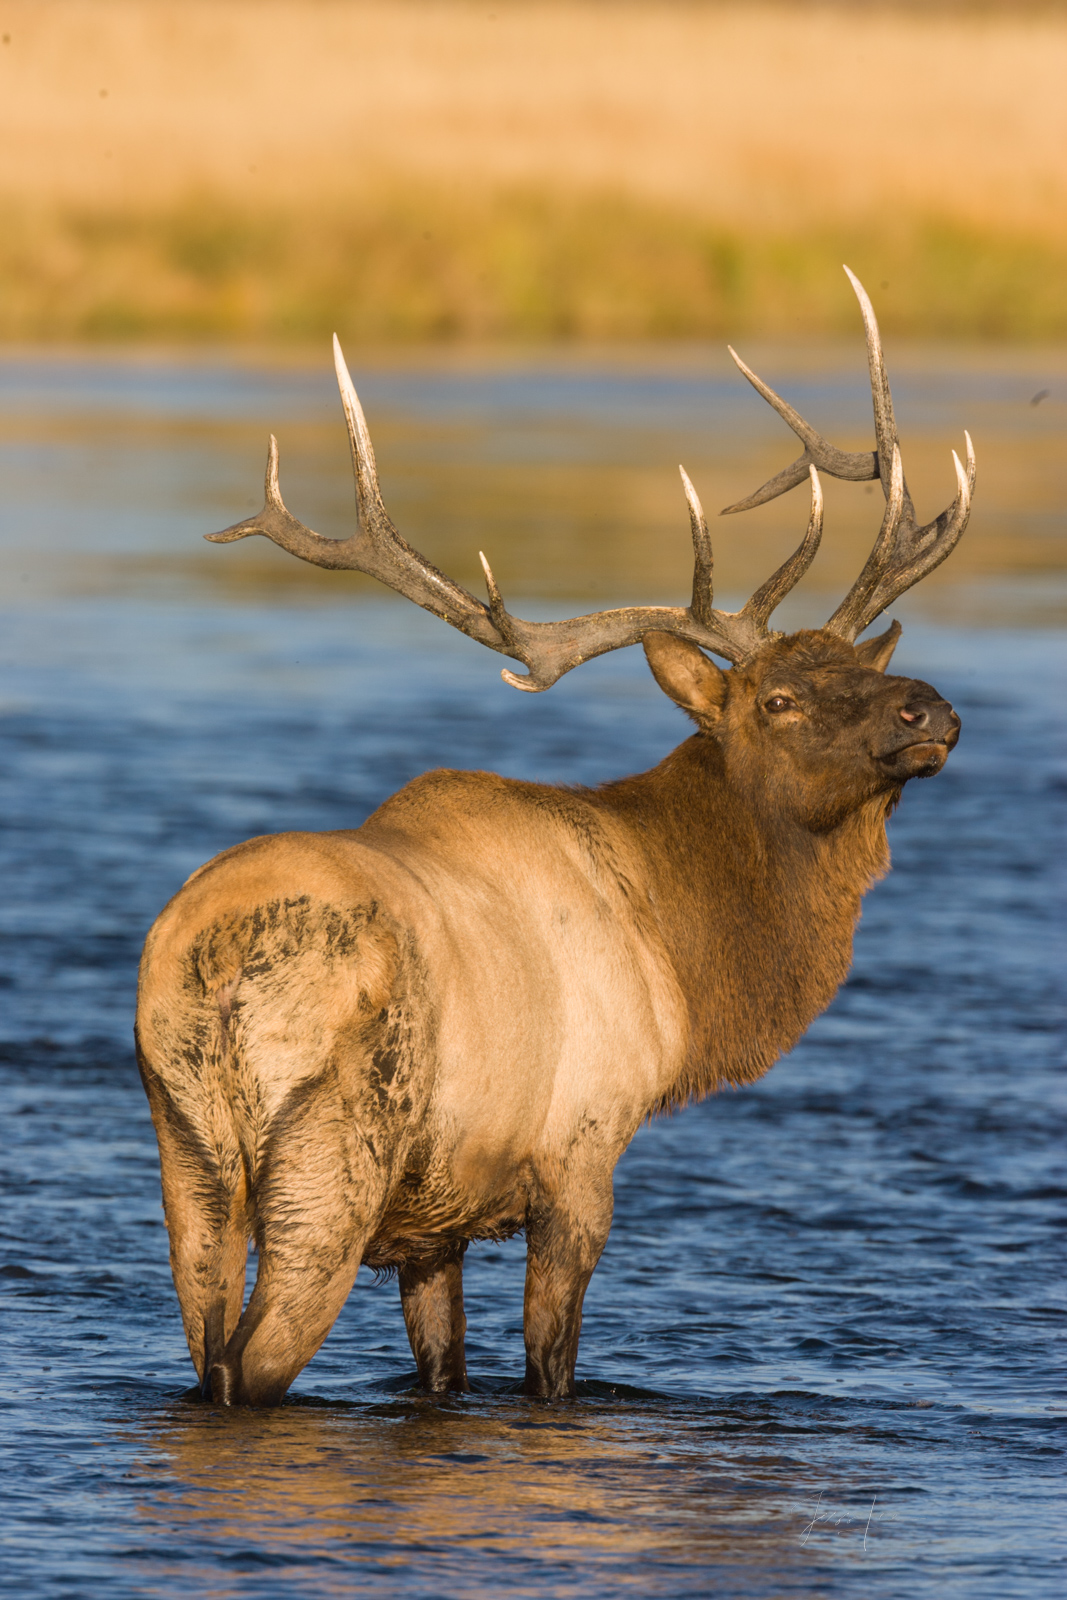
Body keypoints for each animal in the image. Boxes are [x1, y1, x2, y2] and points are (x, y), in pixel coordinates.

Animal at [135, 272, 979, 1401]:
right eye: (778, 700)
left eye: (861, 668)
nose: (929, 710)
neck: (684, 950)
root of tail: (221, 973)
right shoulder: (581, 1152)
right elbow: (551, 1363)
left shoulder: (434, 1224)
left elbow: (442, 1369)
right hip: (331, 1159)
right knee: (253, 1369)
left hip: (188, 1156)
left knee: (206, 1354)